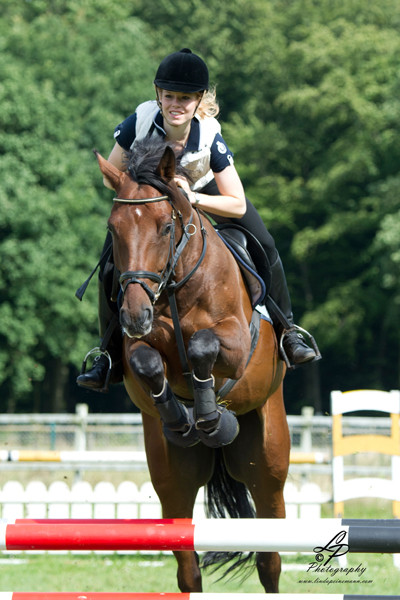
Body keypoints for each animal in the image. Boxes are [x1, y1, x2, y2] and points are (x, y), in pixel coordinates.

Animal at [95, 139, 290, 592]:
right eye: (114, 229)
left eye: (166, 227)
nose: (134, 315)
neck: (176, 286)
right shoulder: (135, 352)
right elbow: (147, 362)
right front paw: (183, 418)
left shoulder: (237, 343)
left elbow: (202, 345)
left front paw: (209, 415)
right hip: (174, 478)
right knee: (188, 568)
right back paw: (193, 426)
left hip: (267, 463)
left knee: (270, 558)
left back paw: (218, 423)